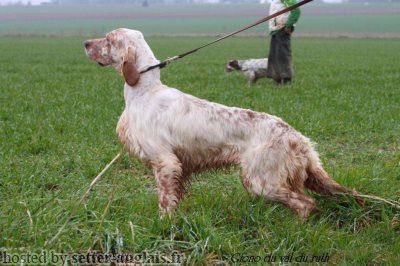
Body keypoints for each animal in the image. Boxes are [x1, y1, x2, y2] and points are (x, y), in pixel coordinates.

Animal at [85, 28, 362, 220]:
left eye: (108, 39)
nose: (85, 43)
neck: (145, 90)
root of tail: (298, 138)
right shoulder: (179, 167)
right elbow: (176, 197)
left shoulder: (164, 162)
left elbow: (164, 201)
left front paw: (163, 223)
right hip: (301, 177)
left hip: (260, 180)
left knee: (305, 204)